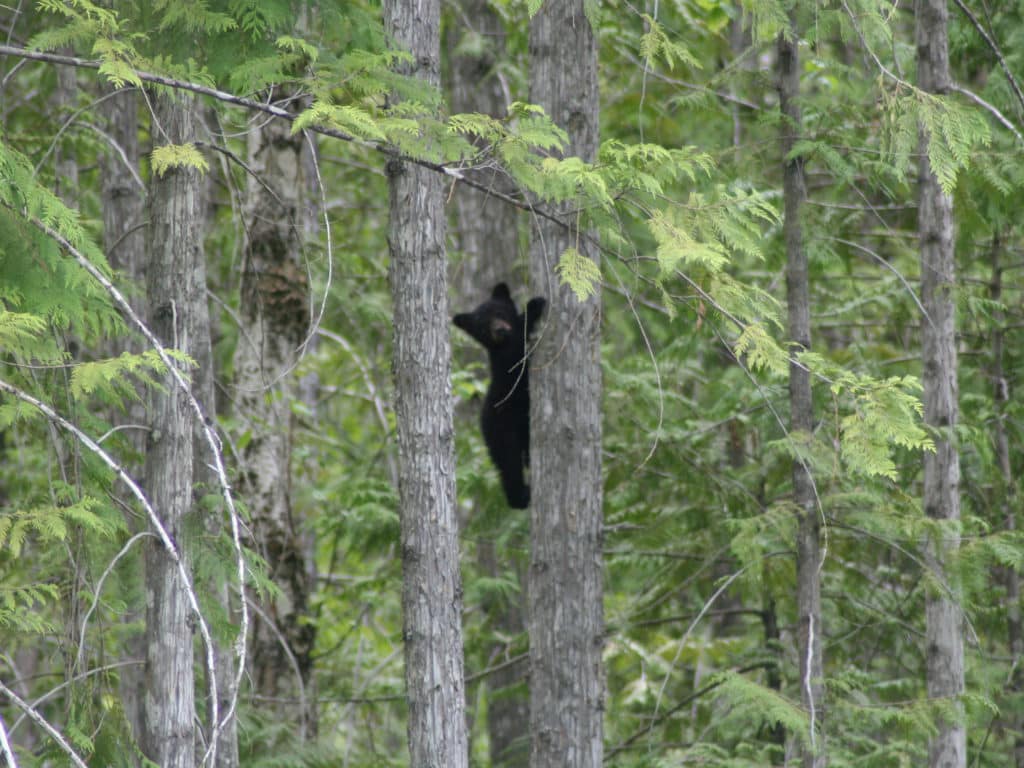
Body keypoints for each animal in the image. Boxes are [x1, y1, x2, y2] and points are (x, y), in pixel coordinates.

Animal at [453, 283, 546, 509]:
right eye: (482, 326)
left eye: (499, 313)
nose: (500, 330)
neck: (502, 344)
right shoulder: (508, 358)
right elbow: (519, 346)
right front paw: (533, 306)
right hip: (500, 428)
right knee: (509, 463)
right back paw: (521, 496)